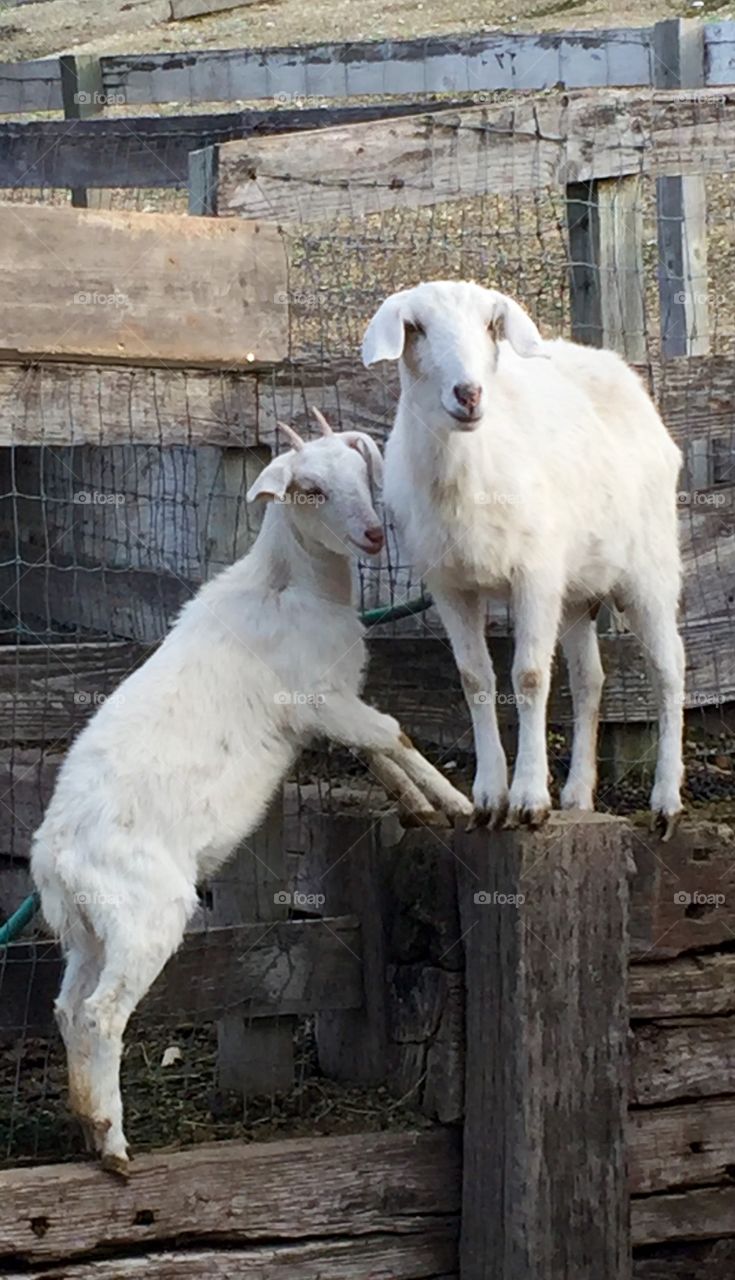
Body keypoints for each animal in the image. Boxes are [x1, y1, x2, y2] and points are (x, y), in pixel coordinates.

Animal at [31, 414, 471, 1172]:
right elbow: (394, 733)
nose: (372, 536)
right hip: (146, 914)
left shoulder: (331, 707)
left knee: (67, 1007)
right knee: (100, 1012)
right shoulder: (320, 699)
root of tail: (52, 858)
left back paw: (90, 1125)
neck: (290, 589)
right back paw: (115, 1146)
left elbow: (377, 748)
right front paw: (458, 804)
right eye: (309, 488)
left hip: (88, 929)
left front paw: (417, 805)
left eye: (362, 470)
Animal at [366, 282, 686, 839]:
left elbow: (531, 676)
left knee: (669, 670)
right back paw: (578, 796)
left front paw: (529, 800)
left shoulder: (534, 573)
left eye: (491, 325)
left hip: (650, 565)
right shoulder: (449, 584)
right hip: (577, 587)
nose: (469, 394)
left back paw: (666, 802)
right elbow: (475, 679)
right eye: (415, 328)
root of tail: (616, 366)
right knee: (590, 679)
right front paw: (488, 800)